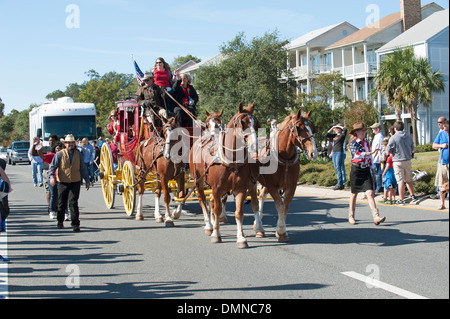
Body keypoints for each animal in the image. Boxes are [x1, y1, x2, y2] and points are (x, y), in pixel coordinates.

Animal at [190, 104, 260, 249]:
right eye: (242, 122)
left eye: (255, 123)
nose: (254, 145)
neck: (231, 160)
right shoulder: (216, 188)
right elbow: (216, 209)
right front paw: (216, 234)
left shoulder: (240, 188)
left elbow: (239, 213)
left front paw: (241, 238)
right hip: (198, 182)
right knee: (202, 200)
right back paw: (209, 226)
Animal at [255, 110, 318, 242]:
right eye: (299, 128)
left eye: (312, 128)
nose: (313, 153)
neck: (285, 158)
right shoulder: (273, 186)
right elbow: (280, 206)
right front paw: (281, 231)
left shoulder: (291, 186)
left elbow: (286, 207)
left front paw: (282, 231)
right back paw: (258, 227)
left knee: (261, 196)